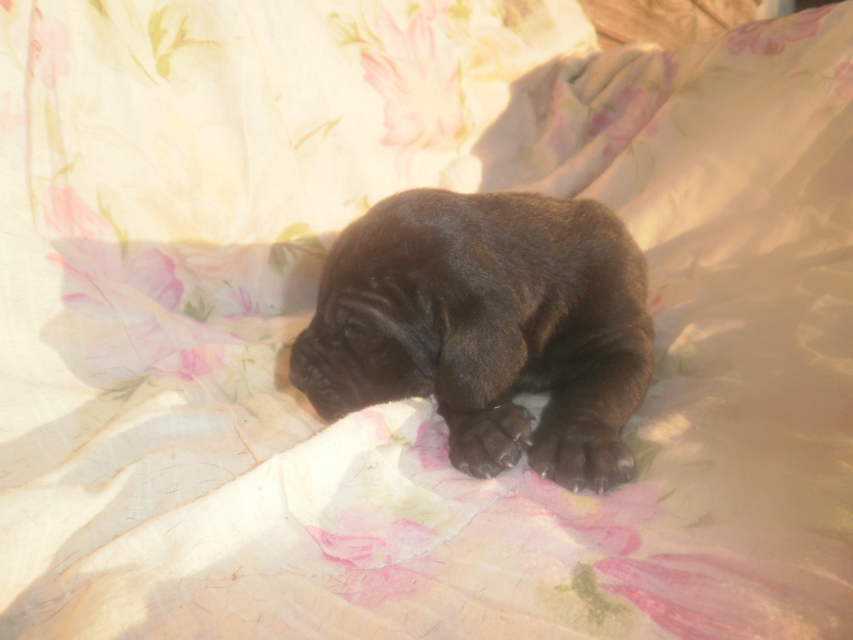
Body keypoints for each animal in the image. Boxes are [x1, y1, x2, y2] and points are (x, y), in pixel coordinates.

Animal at [285, 188, 654, 493]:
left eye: (362, 335)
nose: (295, 377)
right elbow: (459, 385)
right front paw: (486, 428)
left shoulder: (623, 342)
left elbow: (598, 390)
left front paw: (579, 442)